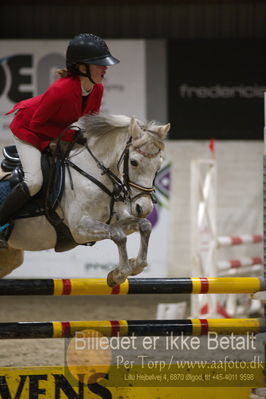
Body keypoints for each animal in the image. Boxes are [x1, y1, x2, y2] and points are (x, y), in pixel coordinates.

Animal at [0, 113, 169, 288]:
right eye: (134, 162)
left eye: (159, 165)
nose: (144, 208)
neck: (93, 173)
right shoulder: (79, 228)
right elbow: (118, 235)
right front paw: (119, 274)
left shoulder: (115, 220)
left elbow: (144, 225)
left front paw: (135, 265)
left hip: (10, 256)